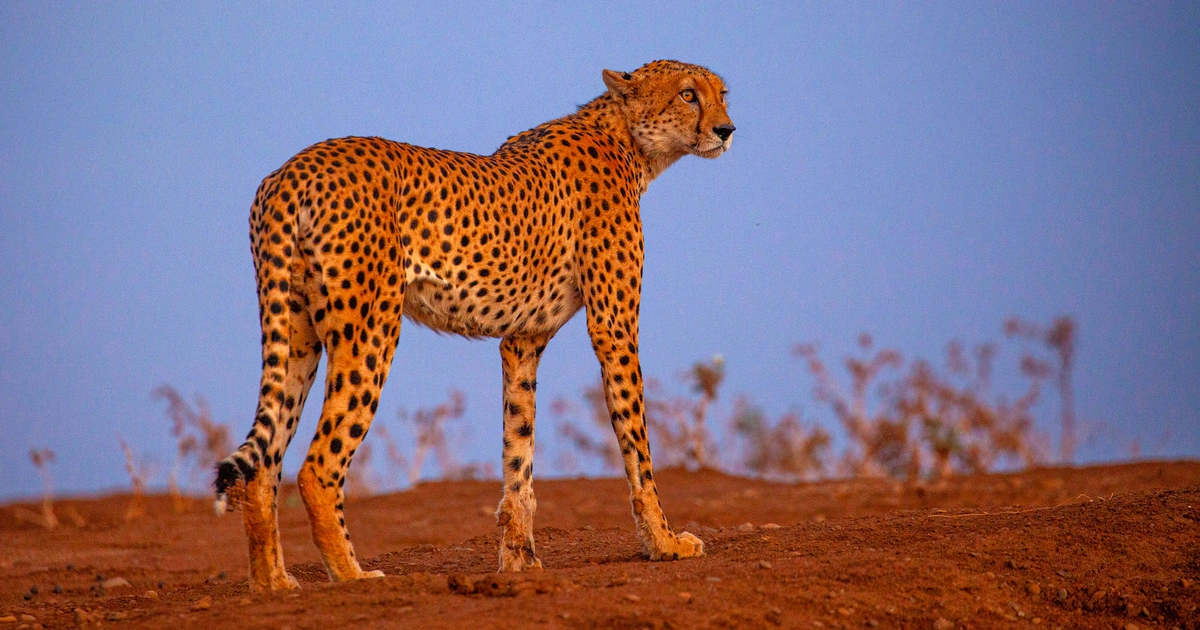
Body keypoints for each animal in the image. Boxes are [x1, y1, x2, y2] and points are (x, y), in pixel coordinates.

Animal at [214, 59, 735, 591]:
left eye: (722, 94)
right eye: (688, 94)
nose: (726, 130)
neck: (628, 140)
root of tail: (294, 167)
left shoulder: (523, 338)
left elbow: (518, 446)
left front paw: (519, 559)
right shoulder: (614, 327)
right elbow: (637, 442)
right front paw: (664, 543)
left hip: (297, 334)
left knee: (263, 464)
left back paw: (273, 583)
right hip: (370, 327)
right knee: (318, 466)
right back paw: (353, 574)